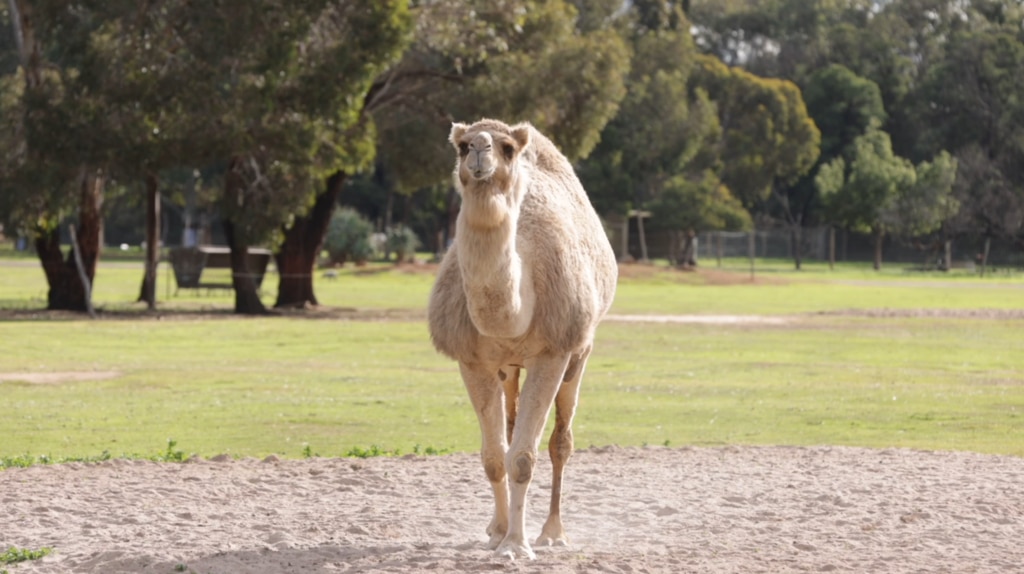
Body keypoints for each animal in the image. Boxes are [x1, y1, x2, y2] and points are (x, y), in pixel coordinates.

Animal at [425, 117, 614, 560]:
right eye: (461, 146)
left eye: (507, 148)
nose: (480, 149)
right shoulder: (472, 360)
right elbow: (494, 456)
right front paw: (500, 535)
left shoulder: (552, 352)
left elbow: (524, 458)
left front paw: (517, 545)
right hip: (508, 367)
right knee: (510, 430)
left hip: (580, 351)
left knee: (561, 440)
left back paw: (552, 533)